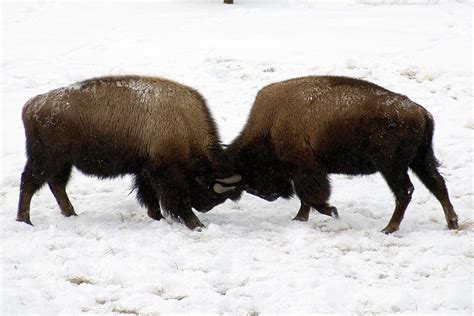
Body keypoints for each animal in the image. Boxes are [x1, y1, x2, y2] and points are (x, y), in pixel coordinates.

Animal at [16, 76, 241, 230]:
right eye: (211, 192)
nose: (204, 207)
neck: (184, 123)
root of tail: (32, 105)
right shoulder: (166, 173)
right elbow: (175, 199)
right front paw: (196, 224)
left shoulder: (146, 170)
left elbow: (150, 196)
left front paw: (158, 216)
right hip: (47, 158)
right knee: (30, 182)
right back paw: (25, 220)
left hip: (63, 162)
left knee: (56, 184)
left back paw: (71, 214)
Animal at [229, 76, 460, 233]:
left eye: (253, 168)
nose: (267, 195)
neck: (272, 122)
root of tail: (421, 112)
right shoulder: (304, 172)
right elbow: (306, 198)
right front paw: (300, 218)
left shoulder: (306, 170)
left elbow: (311, 196)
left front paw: (332, 211)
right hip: (419, 160)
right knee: (437, 184)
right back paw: (452, 223)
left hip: (392, 166)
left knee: (405, 191)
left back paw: (389, 228)